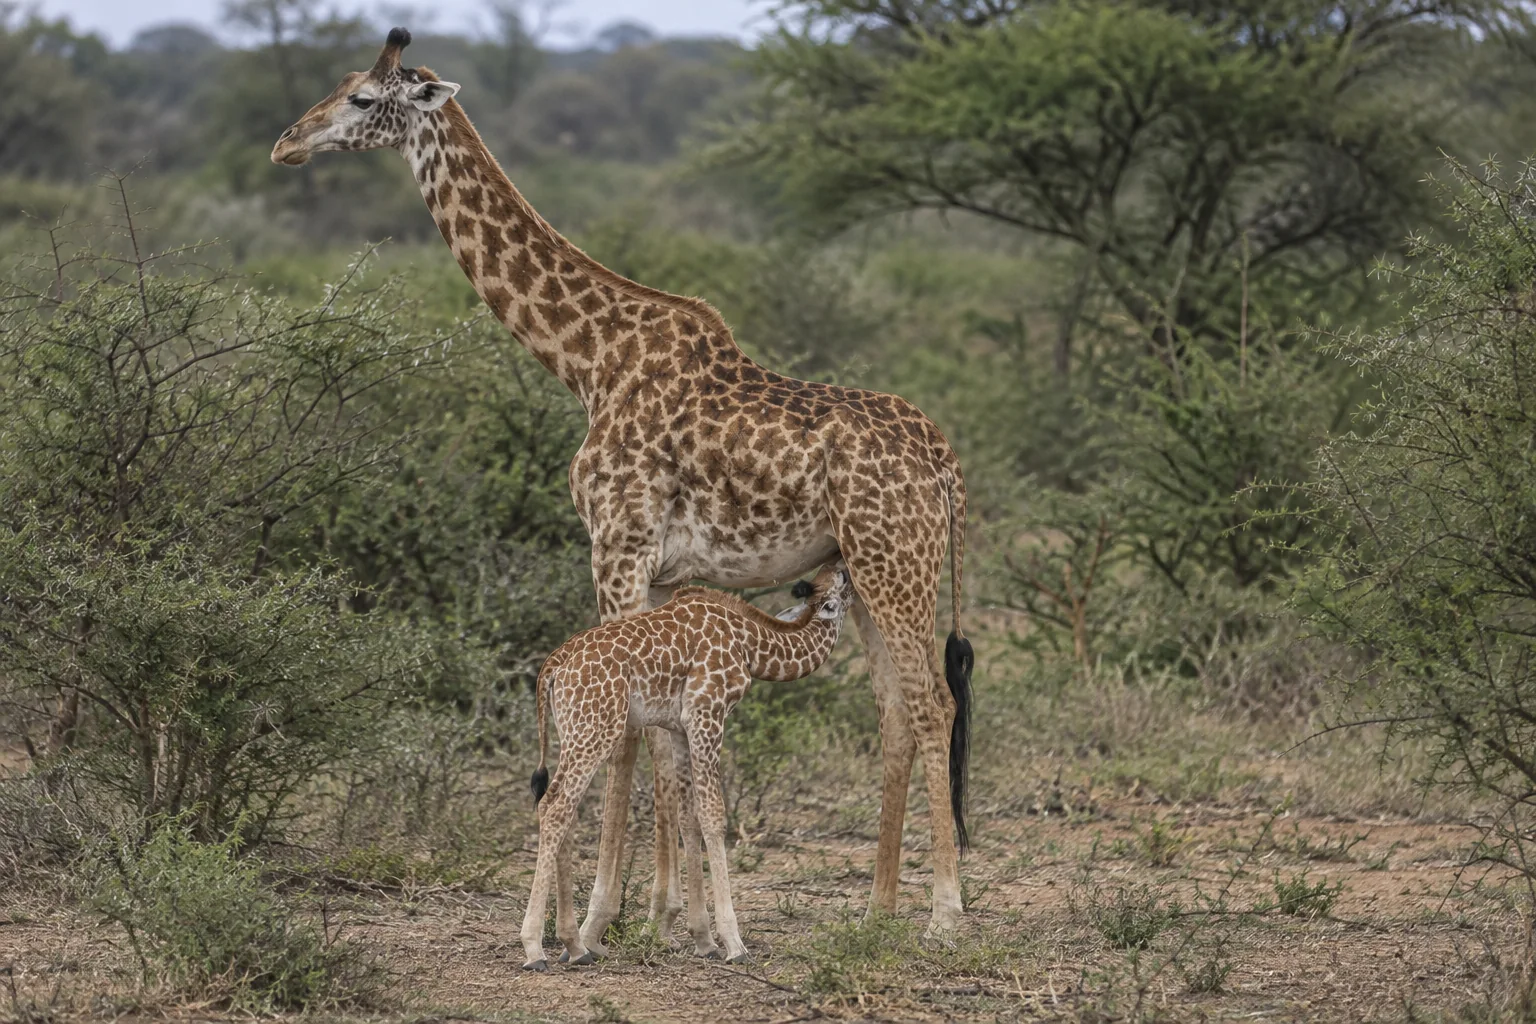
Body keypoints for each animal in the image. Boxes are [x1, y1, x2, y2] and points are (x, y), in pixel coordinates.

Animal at [521, 562, 855, 970]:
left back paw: (575, 945)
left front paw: (704, 940)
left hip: (574, 731)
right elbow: (714, 816)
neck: (748, 643)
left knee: (558, 807)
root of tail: (553, 667)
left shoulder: (681, 727)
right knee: (555, 807)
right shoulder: (706, 714)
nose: (841, 566)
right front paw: (733, 943)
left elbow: (688, 818)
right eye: (839, 586)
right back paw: (535, 948)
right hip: (597, 729)